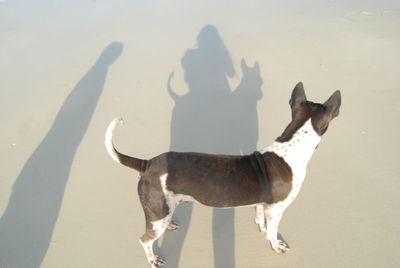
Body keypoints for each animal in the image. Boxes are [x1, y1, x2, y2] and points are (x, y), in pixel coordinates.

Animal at [104, 82, 340, 266]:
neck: (291, 146)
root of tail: (147, 164)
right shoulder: (276, 209)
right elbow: (273, 232)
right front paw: (275, 244)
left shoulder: (263, 204)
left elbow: (260, 218)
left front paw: (261, 227)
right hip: (156, 213)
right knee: (145, 240)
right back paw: (152, 259)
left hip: (162, 210)